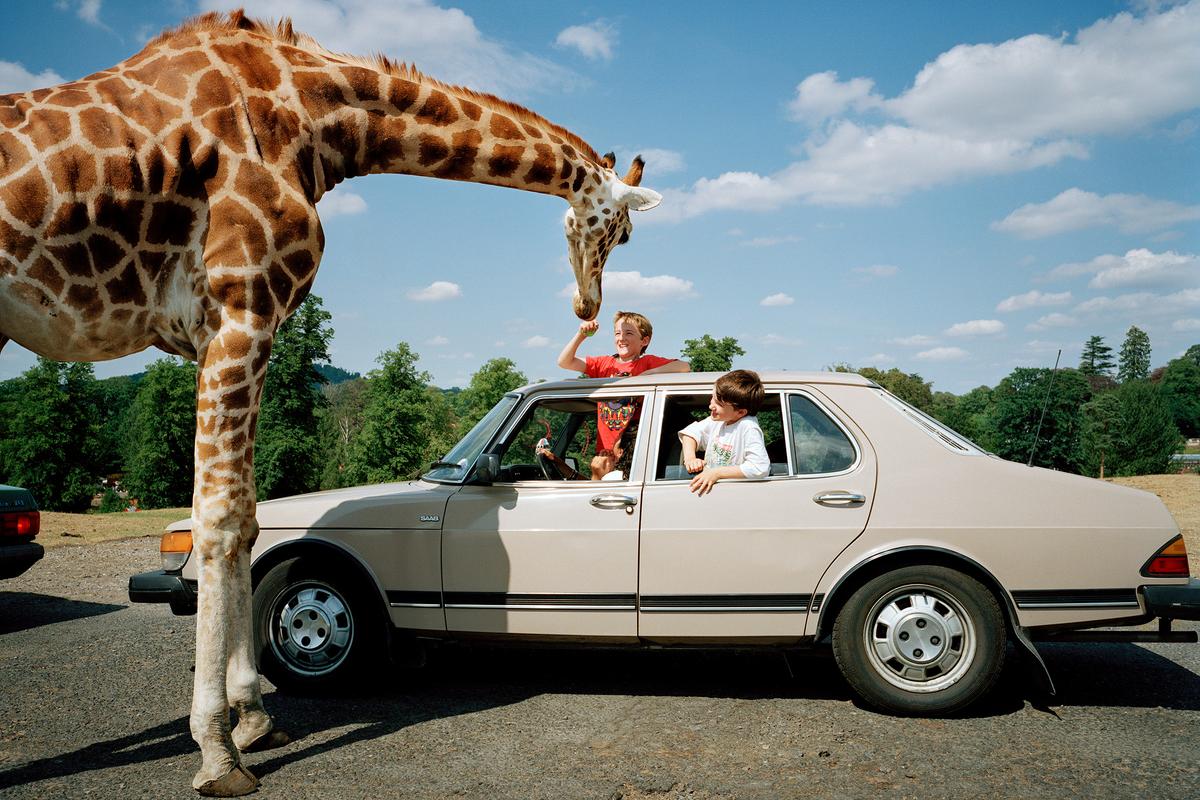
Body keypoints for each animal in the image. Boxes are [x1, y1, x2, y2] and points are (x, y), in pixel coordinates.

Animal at [0, 10, 661, 796]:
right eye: (618, 229)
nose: (588, 307)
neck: (314, 121)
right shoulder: (239, 308)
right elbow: (219, 523)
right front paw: (218, 752)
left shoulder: (238, 327)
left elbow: (248, 522)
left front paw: (253, 719)